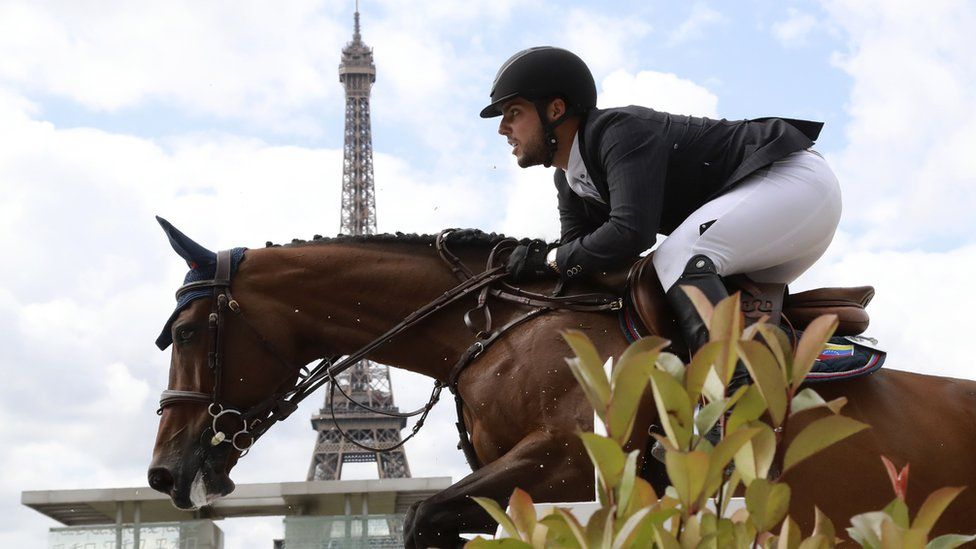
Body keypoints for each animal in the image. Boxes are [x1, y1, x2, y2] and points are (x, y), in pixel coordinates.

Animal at [147, 218, 976, 544]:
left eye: (185, 334)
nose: (163, 472)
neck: (483, 323)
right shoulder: (509, 480)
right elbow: (437, 520)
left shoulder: (570, 456)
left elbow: (423, 514)